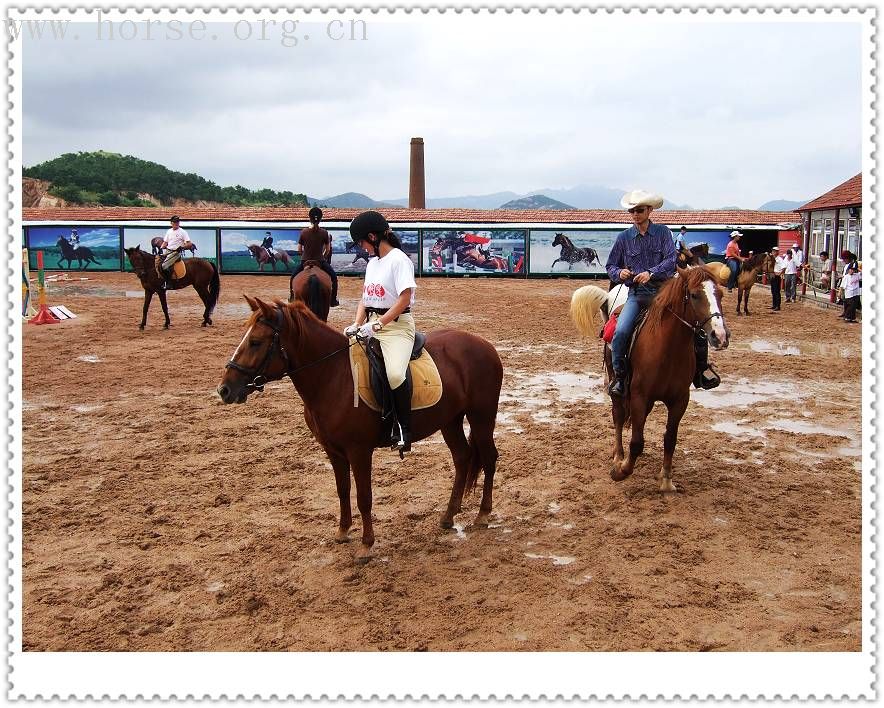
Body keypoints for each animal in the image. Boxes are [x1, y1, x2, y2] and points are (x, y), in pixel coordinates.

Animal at [216, 298, 504, 564]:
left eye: (255, 342)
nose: (225, 390)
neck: (332, 376)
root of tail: (485, 345)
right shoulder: (333, 451)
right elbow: (343, 490)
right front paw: (343, 532)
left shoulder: (359, 452)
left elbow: (364, 496)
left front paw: (366, 545)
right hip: (450, 420)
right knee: (462, 458)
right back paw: (448, 516)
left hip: (481, 416)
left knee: (489, 458)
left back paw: (483, 514)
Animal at [568, 266, 728, 492]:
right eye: (695, 295)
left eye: (720, 294)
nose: (720, 336)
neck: (668, 350)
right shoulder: (639, 396)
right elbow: (636, 441)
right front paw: (621, 471)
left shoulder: (680, 400)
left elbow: (670, 439)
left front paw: (667, 480)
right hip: (617, 385)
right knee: (618, 416)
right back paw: (618, 456)